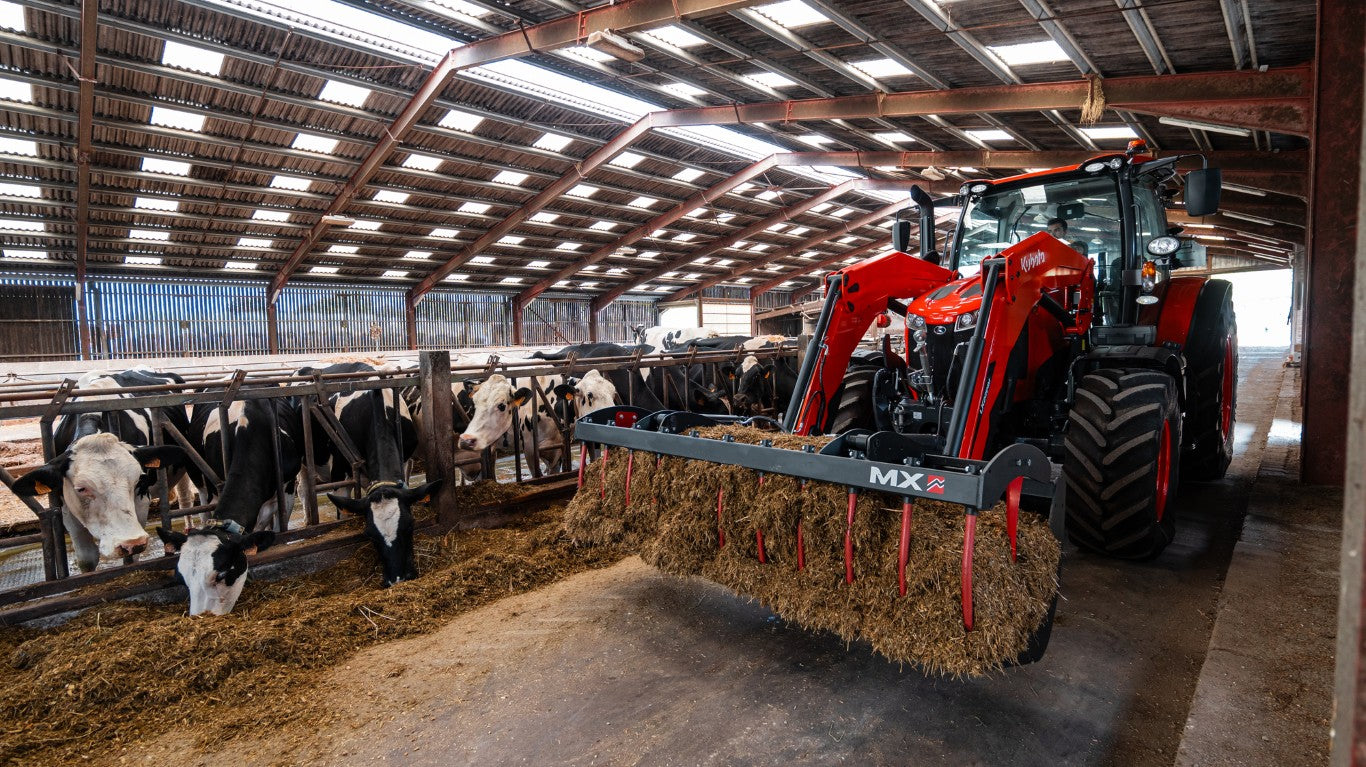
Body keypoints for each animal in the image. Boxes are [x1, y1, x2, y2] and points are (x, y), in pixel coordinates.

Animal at [11, 369, 189, 571]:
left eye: (138, 480)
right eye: (81, 488)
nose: (131, 542)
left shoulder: (142, 500)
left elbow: (133, 558)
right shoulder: (66, 506)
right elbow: (87, 559)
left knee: (185, 498)